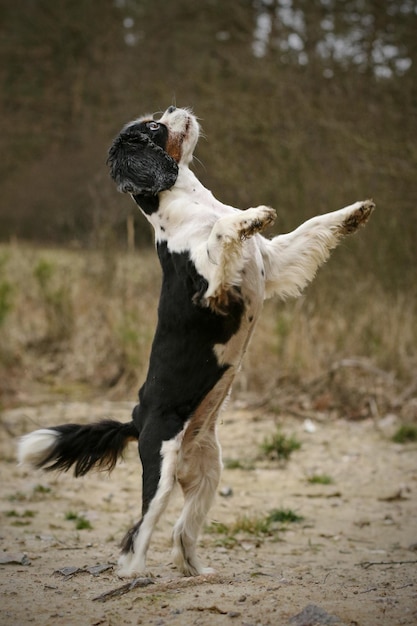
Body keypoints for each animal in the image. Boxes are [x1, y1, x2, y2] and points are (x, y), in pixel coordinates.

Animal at [17, 106, 374, 576]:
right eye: (152, 127)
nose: (173, 109)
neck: (194, 206)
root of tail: (136, 417)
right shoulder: (211, 294)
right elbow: (224, 229)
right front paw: (253, 214)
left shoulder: (274, 261)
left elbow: (313, 226)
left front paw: (357, 210)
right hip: (161, 469)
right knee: (137, 537)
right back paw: (134, 578)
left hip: (208, 472)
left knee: (180, 532)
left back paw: (199, 574)